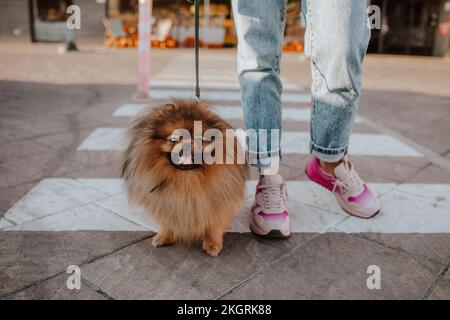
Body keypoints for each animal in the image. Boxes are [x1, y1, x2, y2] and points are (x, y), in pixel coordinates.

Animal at [122, 99, 246, 256]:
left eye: (200, 139)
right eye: (174, 139)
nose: (186, 145)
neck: (187, 180)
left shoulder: (217, 201)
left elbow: (214, 225)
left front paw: (212, 244)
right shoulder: (167, 202)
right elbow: (168, 221)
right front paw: (165, 236)